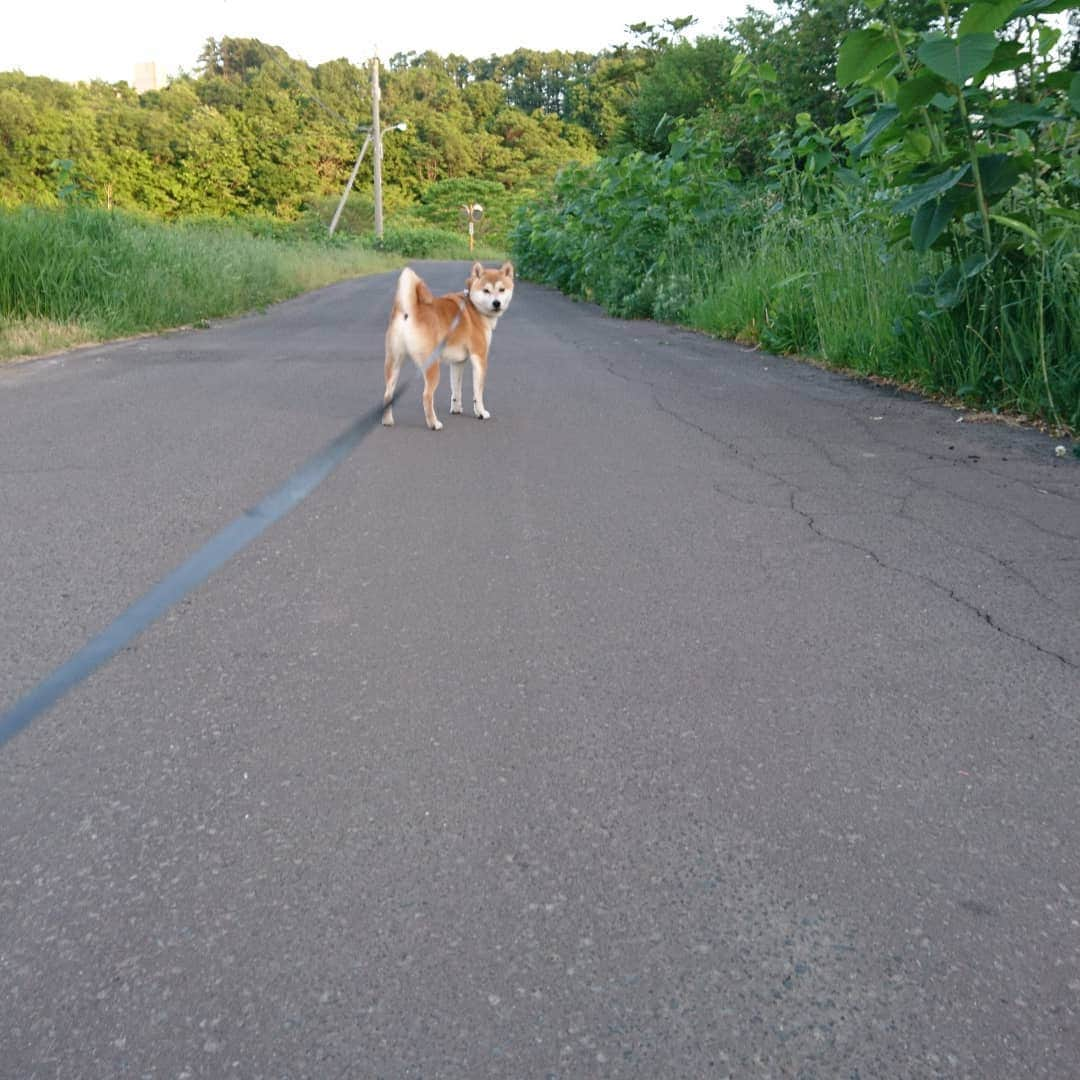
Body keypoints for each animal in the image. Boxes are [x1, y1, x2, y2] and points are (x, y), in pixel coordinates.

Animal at [380, 261, 514, 429]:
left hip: (394, 362)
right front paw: (481, 413)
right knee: (426, 396)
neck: (473, 306)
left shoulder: (457, 363)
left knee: (387, 394)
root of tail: (409, 310)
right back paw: (434, 423)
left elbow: (456, 390)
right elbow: (478, 393)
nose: (496, 303)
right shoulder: (479, 357)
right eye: (486, 290)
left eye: (502, 289)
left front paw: (456, 409)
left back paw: (387, 421)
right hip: (432, 366)